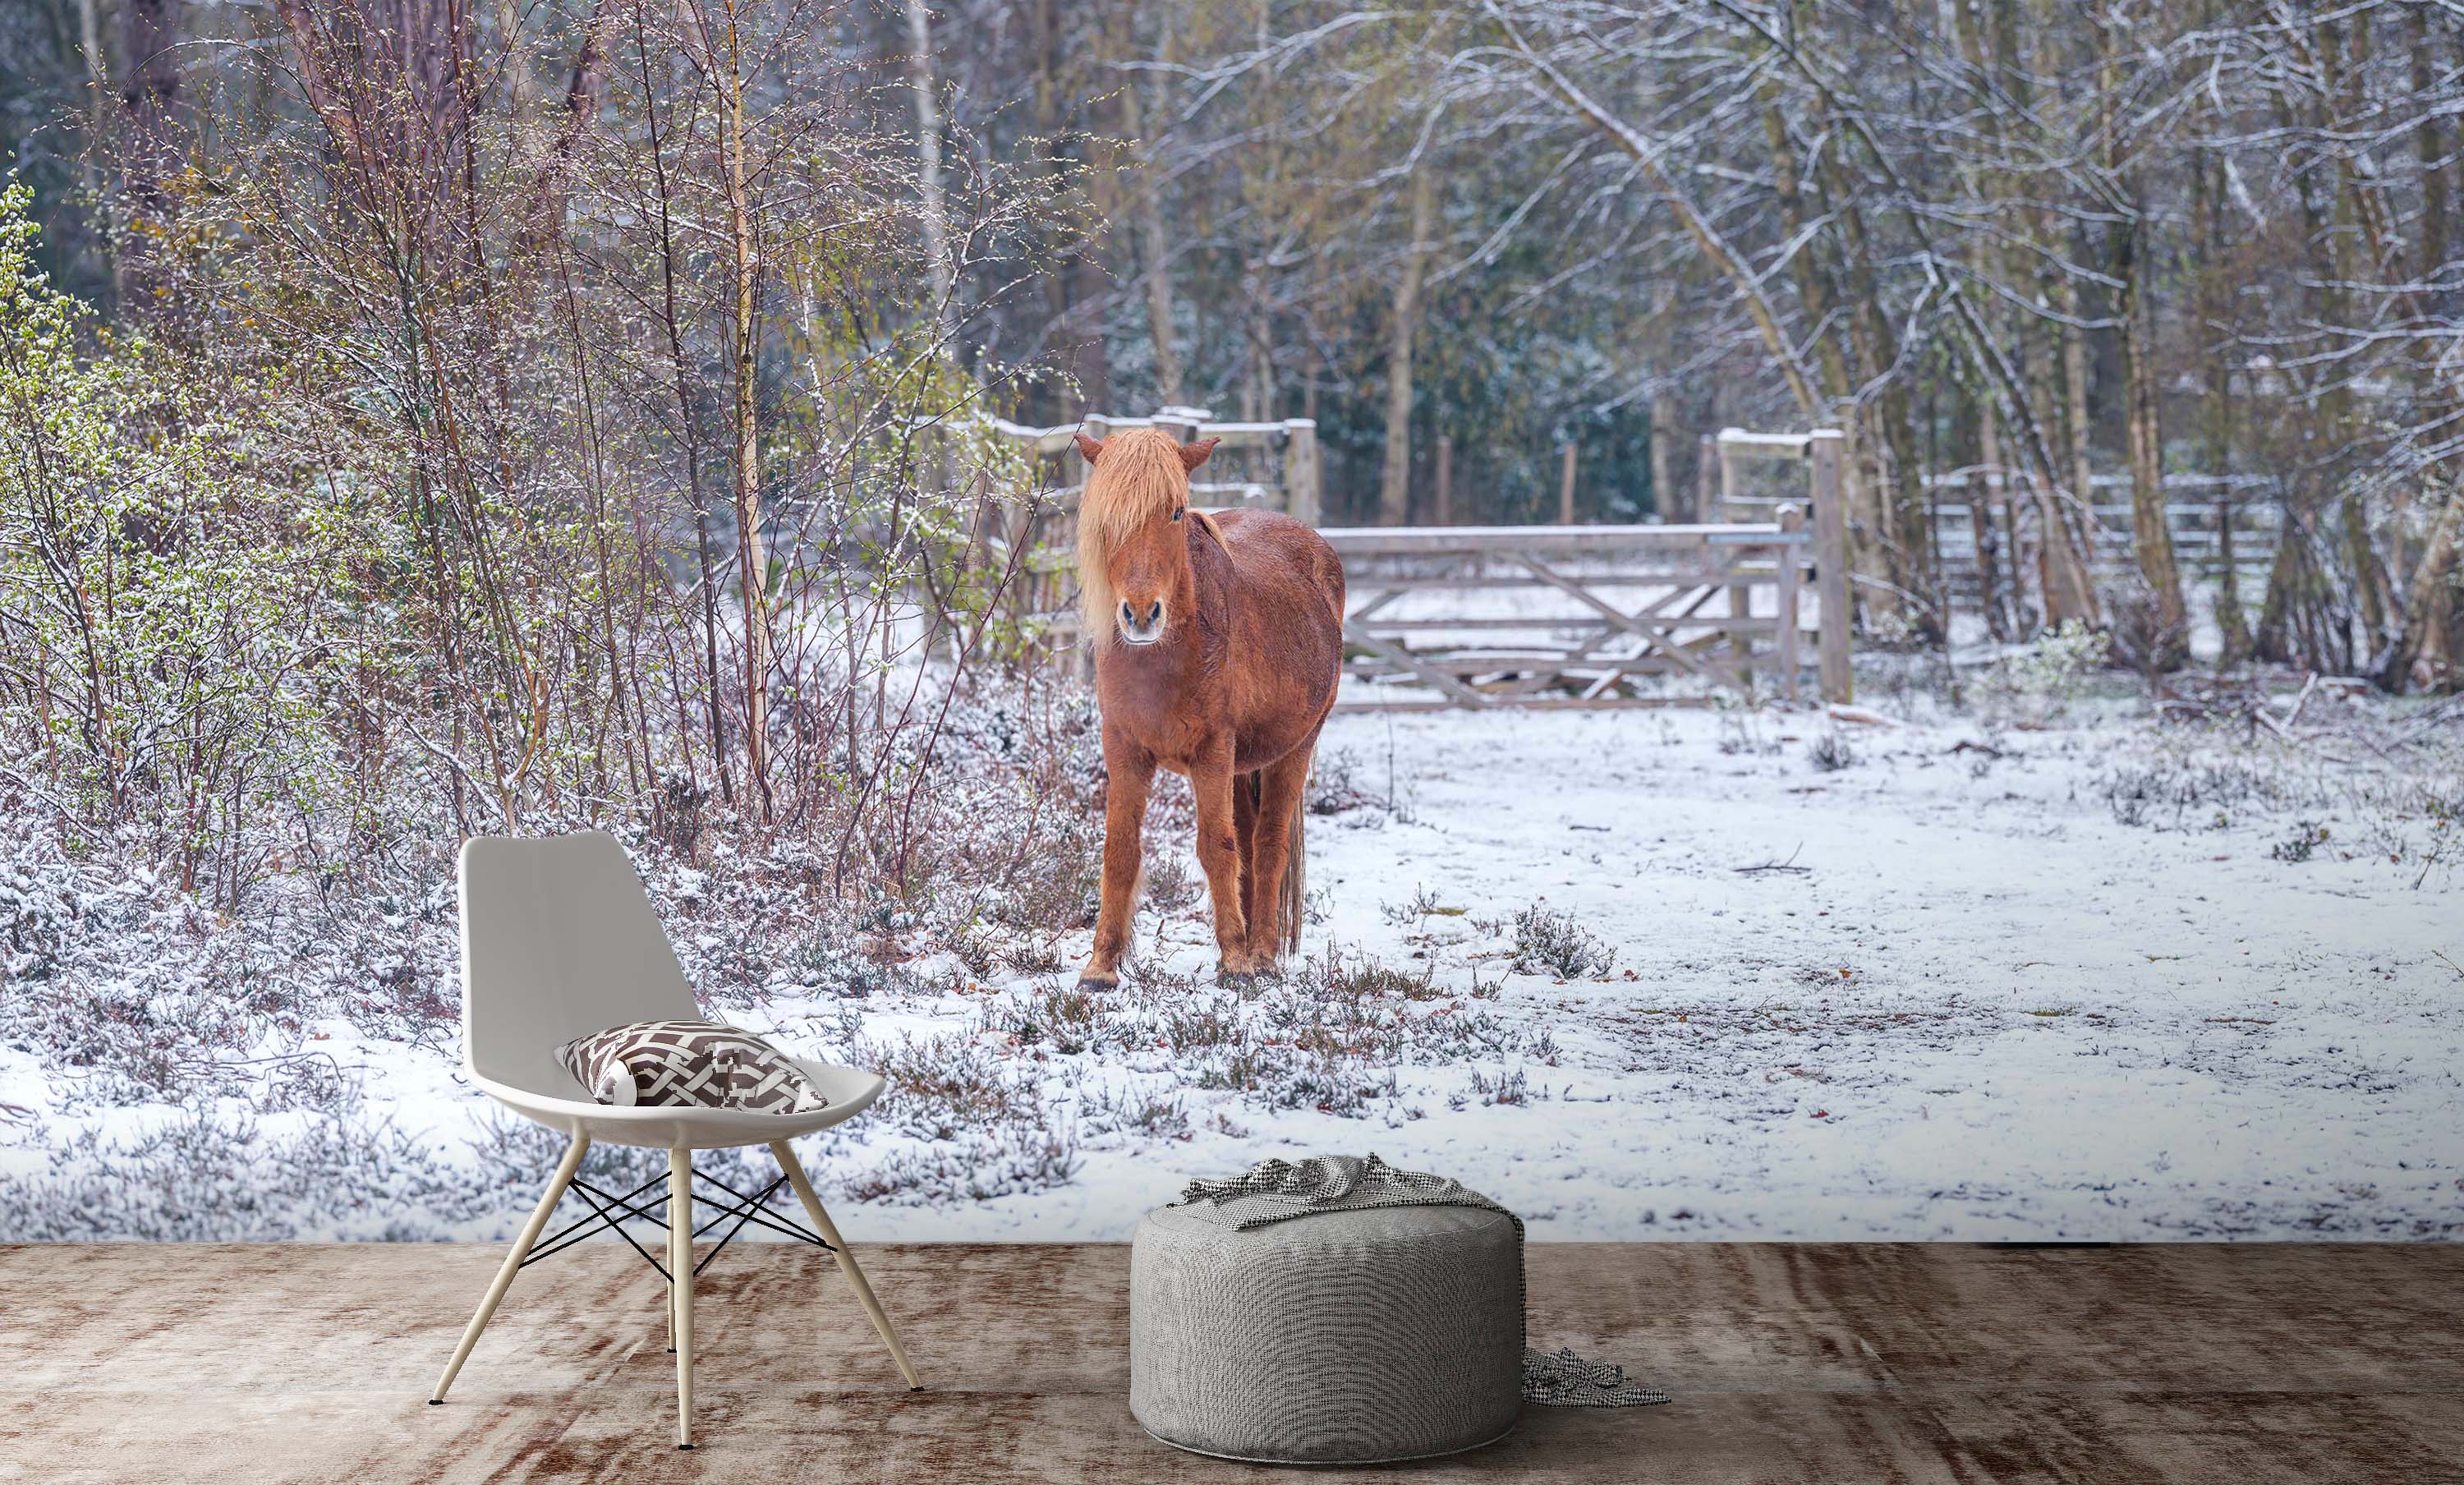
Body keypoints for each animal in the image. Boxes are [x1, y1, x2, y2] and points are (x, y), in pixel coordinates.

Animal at [1070, 426, 1346, 987]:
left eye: (1176, 511)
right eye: (1107, 516)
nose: (1141, 614)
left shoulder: (1212, 751)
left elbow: (1217, 848)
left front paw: (1236, 961)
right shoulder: (1123, 748)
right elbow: (1121, 850)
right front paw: (1101, 965)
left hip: (1294, 749)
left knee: (1268, 845)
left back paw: (1261, 953)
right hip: (1243, 767)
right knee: (1249, 839)